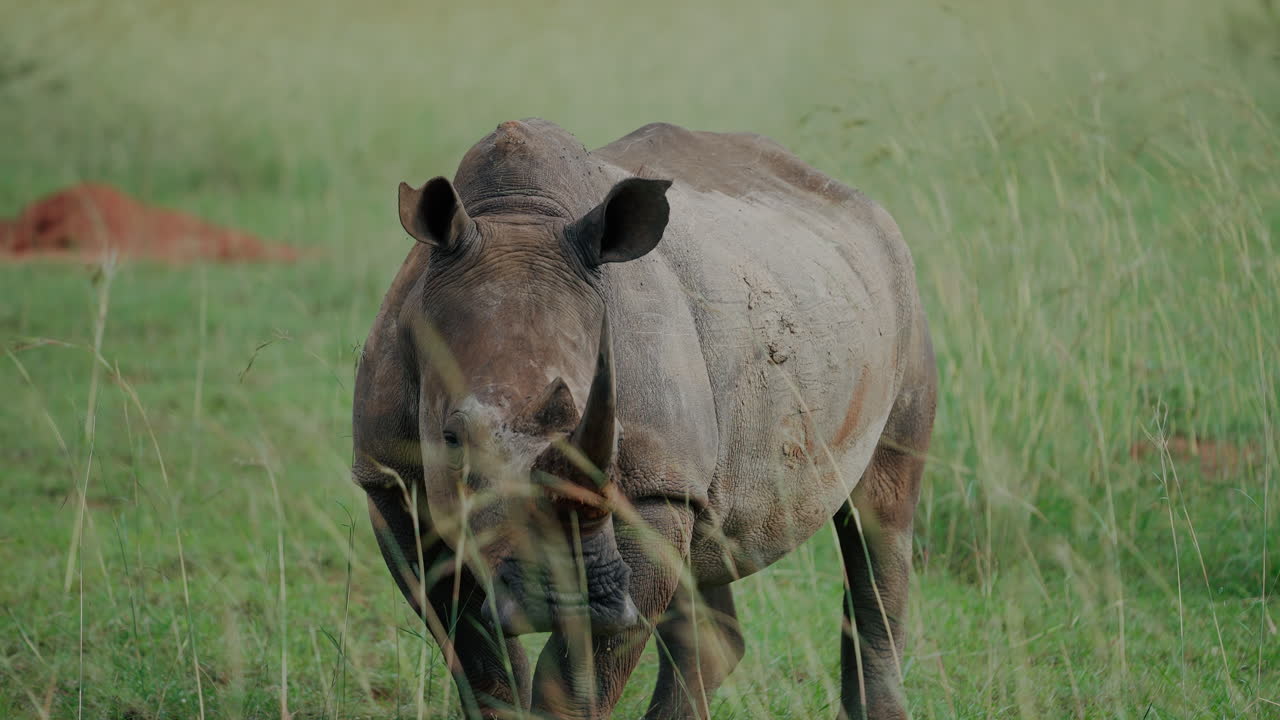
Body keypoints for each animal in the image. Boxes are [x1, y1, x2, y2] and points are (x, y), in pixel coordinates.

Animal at [352, 119, 936, 720]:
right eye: (451, 438)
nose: (571, 602)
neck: (517, 216)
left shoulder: (658, 488)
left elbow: (578, 678)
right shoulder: (390, 482)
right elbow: (480, 660)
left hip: (902, 307)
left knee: (880, 514)